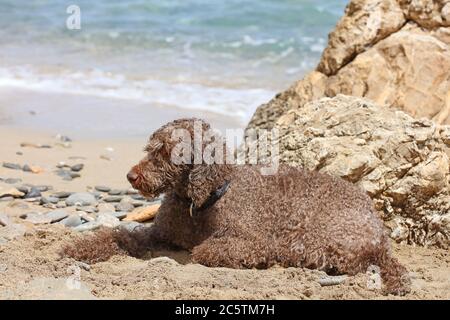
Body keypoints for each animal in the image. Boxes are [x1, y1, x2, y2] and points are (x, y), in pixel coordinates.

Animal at [63, 118, 412, 296]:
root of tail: (381, 237)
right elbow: (117, 236)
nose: (131, 176)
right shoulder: (156, 234)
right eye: (150, 149)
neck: (197, 202)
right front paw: (80, 248)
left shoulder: (252, 241)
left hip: (315, 238)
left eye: (165, 152)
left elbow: (204, 249)